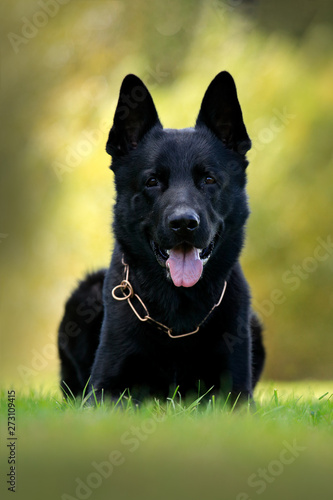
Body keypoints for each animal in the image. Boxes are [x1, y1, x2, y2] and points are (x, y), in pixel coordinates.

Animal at [57, 72, 264, 404]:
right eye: (152, 181)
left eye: (209, 179)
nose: (183, 223)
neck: (177, 315)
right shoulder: (104, 390)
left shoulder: (237, 394)